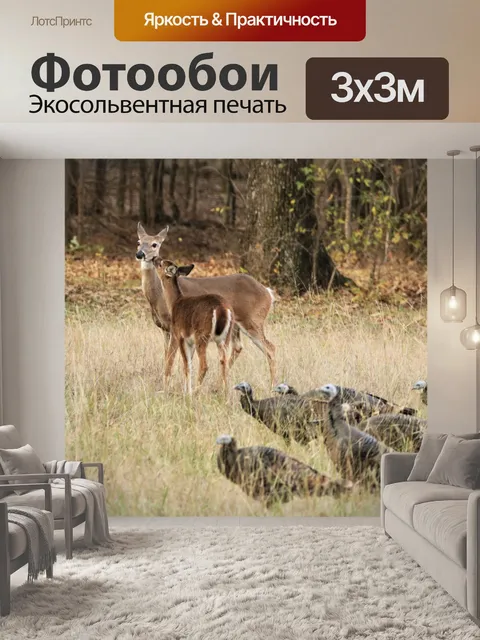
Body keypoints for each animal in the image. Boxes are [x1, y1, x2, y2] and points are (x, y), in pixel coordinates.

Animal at [157, 259, 234, 395]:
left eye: (161, 264)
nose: (154, 260)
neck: (174, 303)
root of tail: (222, 309)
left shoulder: (179, 335)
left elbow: (186, 365)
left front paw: (187, 393)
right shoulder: (190, 341)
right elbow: (190, 364)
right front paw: (186, 391)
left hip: (202, 336)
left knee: (204, 365)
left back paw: (196, 392)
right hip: (225, 337)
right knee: (224, 362)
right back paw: (225, 393)